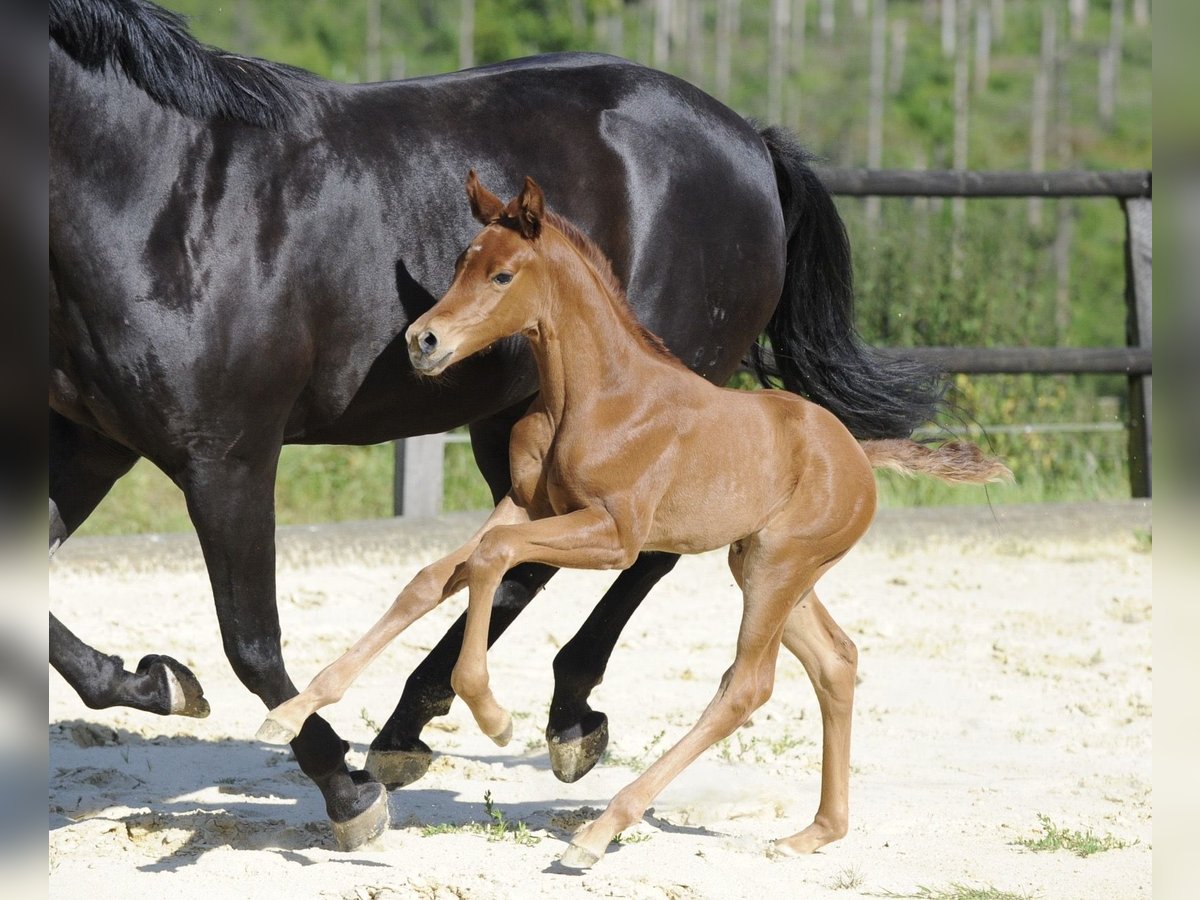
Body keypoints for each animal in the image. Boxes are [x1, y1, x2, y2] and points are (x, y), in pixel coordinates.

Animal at [49, 0, 936, 849]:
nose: (422, 340)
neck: (166, 198)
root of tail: (751, 141)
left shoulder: (226, 456)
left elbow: (251, 641)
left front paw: (343, 789)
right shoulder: (91, 446)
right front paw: (159, 682)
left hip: (671, 398)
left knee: (634, 554)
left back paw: (554, 718)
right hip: (518, 425)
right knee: (525, 563)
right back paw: (422, 725)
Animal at [258, 172, 1008, 868]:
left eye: (502, 273)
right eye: (460, 264)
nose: (423, 341)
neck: (594, 395)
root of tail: (858, 450)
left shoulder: (613, 535)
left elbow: (493, 559)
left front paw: (493, 714)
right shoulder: (525, 505)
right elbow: (431, 577)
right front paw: (288, 712)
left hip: (777, 566)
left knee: (746, 686)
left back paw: (598, 832)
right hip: (763, 565)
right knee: (836, 661)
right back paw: (813, 833)